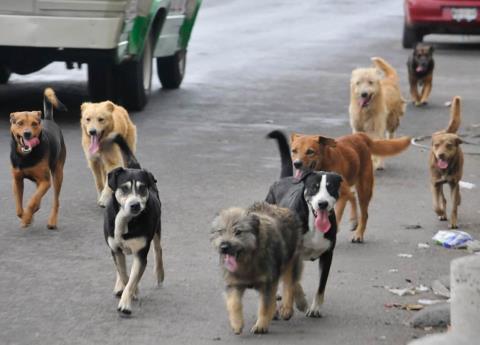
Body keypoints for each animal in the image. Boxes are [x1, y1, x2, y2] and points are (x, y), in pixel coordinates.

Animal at [9, 88, 66, 228]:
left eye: (34, 124)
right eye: (20, 123)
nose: (27, 133)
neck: (26, 156)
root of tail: (49, 120)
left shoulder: (45, 181)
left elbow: (32, 201)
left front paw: (27, 218)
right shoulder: (17, 180)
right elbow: (19, 208)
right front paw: (26, 217)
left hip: (58, 174)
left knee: (56, 201)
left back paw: (52, 221)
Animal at [104, 134, 164, 314]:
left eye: (142, 188)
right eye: (124, 188)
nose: (135, 205)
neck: (126, 220)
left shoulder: (140, 253)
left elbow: (132, 278)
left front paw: (126, 303)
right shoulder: (115, 248)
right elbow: (125, 275)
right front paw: (130, 290)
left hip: (157, 229)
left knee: (158, 249)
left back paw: (160, 274)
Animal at [266, 130, 342, 318]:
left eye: (330, 188)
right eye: (314, 187)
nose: (322, 204)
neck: (313, 224)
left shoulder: (327, 255)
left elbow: (321, 286)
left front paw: (314, 308)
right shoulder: (293, 253)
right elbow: (293, 282)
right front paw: (294, 304)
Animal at [430, 96, 464, 228]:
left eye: (449, 145)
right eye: (436, 145)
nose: (441, 155)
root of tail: (446, 131)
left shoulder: (454, 184)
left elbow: (454, 206)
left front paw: (453, 221)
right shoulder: (435, 184)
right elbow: (436, 205)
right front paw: (440, 212)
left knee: (456, 195)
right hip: (439, 184)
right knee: (442, 199)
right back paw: (442, 212)